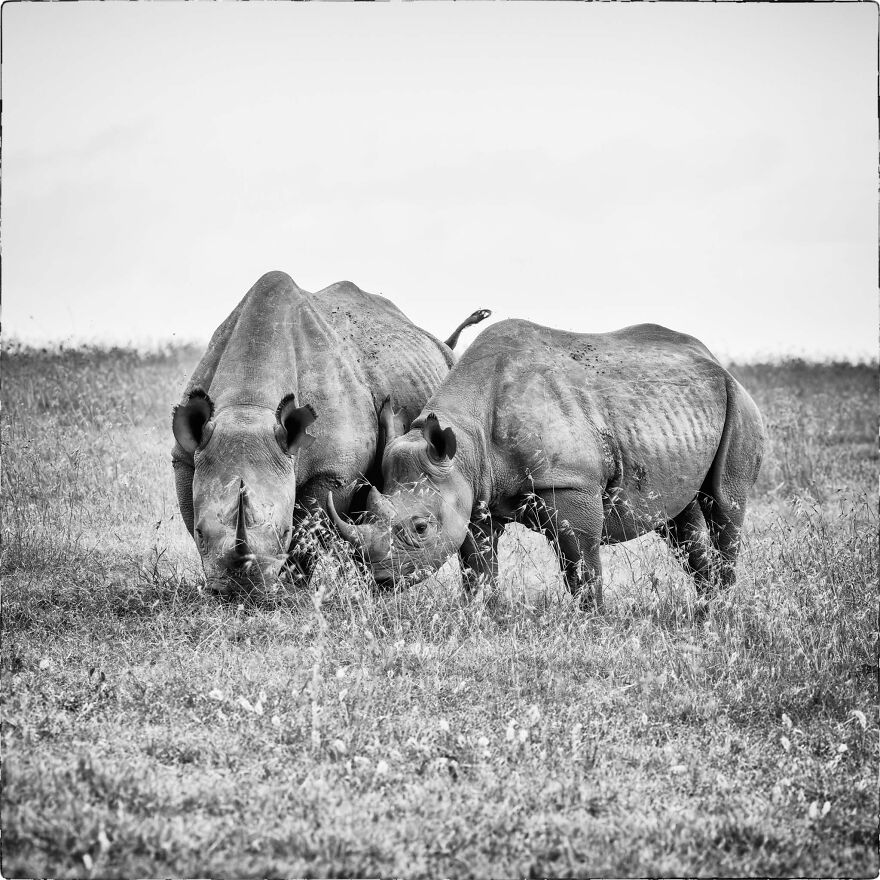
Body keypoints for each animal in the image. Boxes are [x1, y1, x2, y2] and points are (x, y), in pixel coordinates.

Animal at [171, 270, 489, 596]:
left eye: (283, 531)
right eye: (201, 533)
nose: (240, 590)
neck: (248, 406)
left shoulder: (332, 472)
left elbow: (308, 531)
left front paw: (293, 590)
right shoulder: (185, 456)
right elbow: (191, 511)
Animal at [328, 319, 765, 608]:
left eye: (420, 528)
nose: (378, 578)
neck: (465, 441)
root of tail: (714, 359)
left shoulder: (570, 483)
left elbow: (580, 561)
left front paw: (592, 621)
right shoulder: (474, 492)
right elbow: (477, 563)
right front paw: (481, 615)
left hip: (739, 403)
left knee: (725, 505)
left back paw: (722, 609)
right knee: (680, 522)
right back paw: (706, 610)